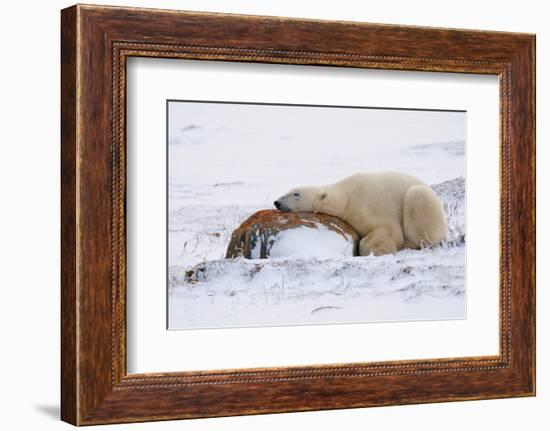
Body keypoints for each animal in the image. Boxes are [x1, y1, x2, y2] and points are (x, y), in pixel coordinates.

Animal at [274, 172, 450, 256]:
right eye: (289, 191)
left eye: (296, 194)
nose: (277, 202)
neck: (346, 197)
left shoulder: (368, 204)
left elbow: (389, 230)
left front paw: (378, 251)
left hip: (422, 199)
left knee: (418, 200)